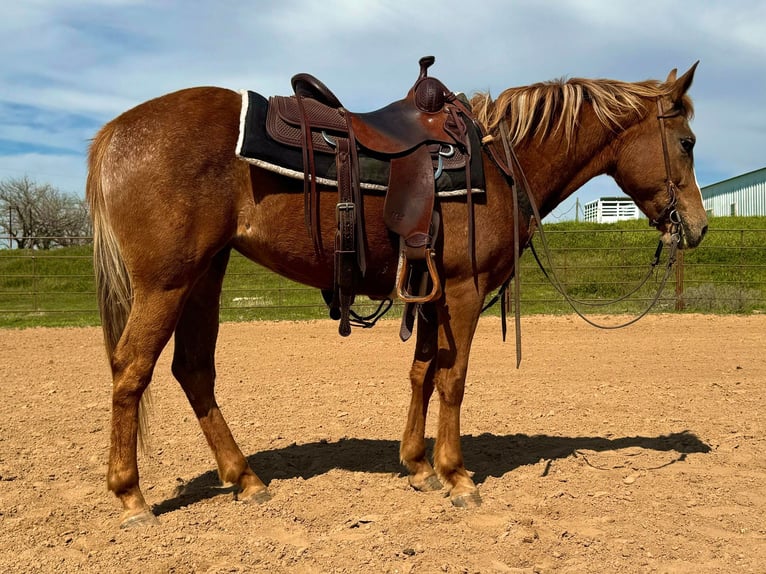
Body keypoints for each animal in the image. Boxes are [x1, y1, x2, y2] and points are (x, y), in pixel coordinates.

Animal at [85, 62, 708, 528]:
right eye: (687, 142)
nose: (697, 228)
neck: (500, 164)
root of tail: (117, 132)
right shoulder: (462, 289)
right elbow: (453, 379)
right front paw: (457, 476)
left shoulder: (429, 292)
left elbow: (422, 373)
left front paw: (417, 466)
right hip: (167, 283)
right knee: (131, 370)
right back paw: (132, 496)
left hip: (204, 276)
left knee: (193, 370)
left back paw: (246, 478)